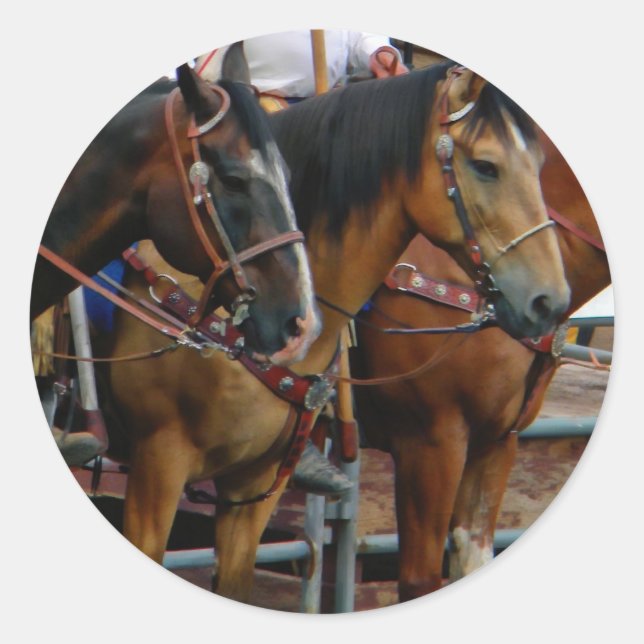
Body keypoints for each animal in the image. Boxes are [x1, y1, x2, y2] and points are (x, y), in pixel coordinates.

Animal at [98, 60, 571, 604]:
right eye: (486, 166)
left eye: (539, 165)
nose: (549, 301)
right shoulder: (432, 443)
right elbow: (419, 578)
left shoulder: (493, 446)